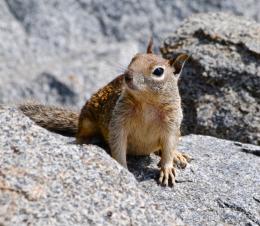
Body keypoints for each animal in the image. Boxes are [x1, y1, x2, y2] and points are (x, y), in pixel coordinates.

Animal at [19, 39, 190, 186]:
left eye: (158, 71)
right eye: (134, 58)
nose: (127, 76)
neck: (147, 103)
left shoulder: (172, 125)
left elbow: (168, 147)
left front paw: (167, 167)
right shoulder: (118, 122)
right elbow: (118, 145)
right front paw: (123, 170)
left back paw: (177, 155)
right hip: (88, 120)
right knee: (81, 133)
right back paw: (83, 142)